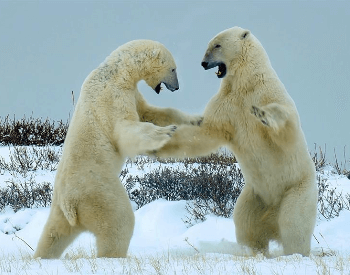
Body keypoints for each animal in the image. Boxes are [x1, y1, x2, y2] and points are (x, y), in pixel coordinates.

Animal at [35, 40, 201, 260]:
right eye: (173, 69)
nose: (176, 87)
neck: (117, 72)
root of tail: (70, 205)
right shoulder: (112, 95)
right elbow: (125, 129)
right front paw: (166, 132)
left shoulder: (131, 92)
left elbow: (150, 112)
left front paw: (195, 119)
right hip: (98, 191)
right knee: (118, 221)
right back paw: (114, 256)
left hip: (59, 209)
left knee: (53, 234)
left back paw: (41, 256)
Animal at [154, 27, 318, 258]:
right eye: (210, 44)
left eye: (217, 45)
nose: (203, 63)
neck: (246, 83)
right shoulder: (227, 104)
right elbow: (205, 132)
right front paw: (158, 141)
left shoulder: (268, 93)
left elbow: (286, 129)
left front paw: (263, 114)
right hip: (254, 197)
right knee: (246, 223)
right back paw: (252, 250)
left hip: (297, 189)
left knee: (293, 224)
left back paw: (294, 253)